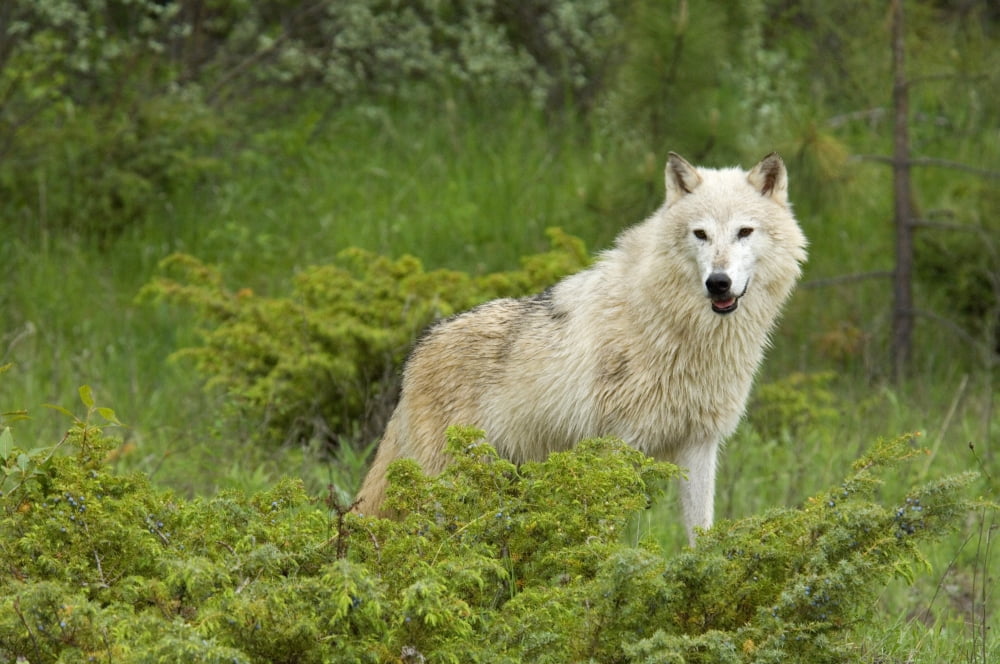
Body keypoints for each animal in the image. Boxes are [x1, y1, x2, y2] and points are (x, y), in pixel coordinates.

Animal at [355, 152, 807, 545]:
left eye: (744, 232)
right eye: (701, 234)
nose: (718, 283)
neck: (680, 332)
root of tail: (416, 355)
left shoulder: (699, 444)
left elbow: (701, 533)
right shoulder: (620, 446)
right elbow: (603, 532)